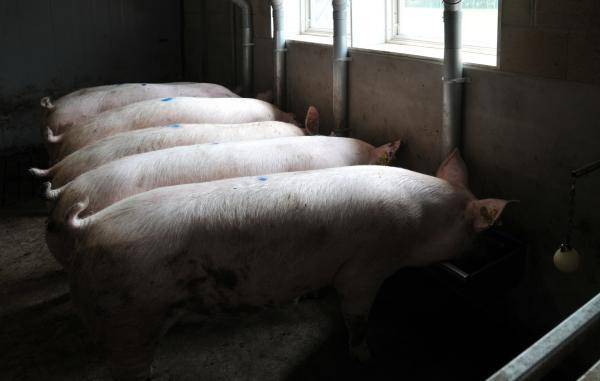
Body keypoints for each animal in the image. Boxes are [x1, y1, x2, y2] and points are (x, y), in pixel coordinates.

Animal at [64, 150, 510, 378]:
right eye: (479, 234)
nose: (488, 257)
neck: (419, 227)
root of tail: (87, 227)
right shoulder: (364, 268)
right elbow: (357, 317)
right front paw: (367, 358)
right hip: (130, 319)